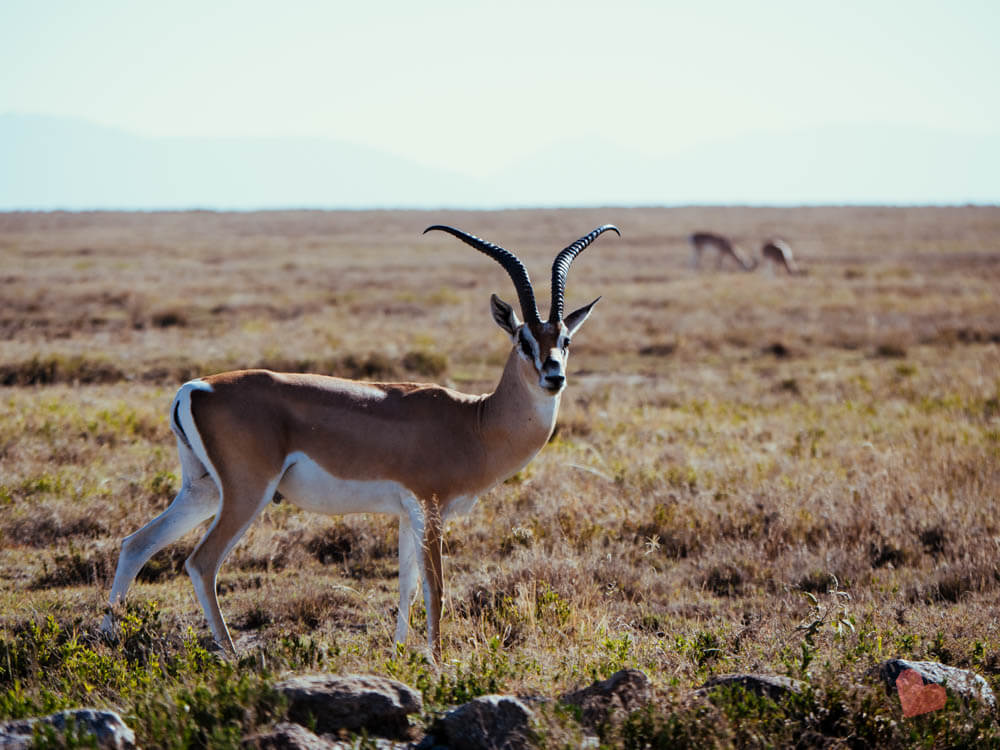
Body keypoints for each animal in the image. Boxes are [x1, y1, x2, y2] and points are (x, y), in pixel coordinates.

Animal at [101, 222, 616, 656]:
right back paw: (231, 654)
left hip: (204, 490)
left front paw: (400, 655)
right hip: (247, 493)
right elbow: (436, 588)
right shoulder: (430, 507)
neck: (476, 422)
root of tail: (195, 387)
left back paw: (108, 639)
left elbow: (407, 585)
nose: (554, 377)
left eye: (565, 340)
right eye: (524, 341)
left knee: (136, 544)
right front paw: (437, 660)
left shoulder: (408, 514)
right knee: (201, 562)